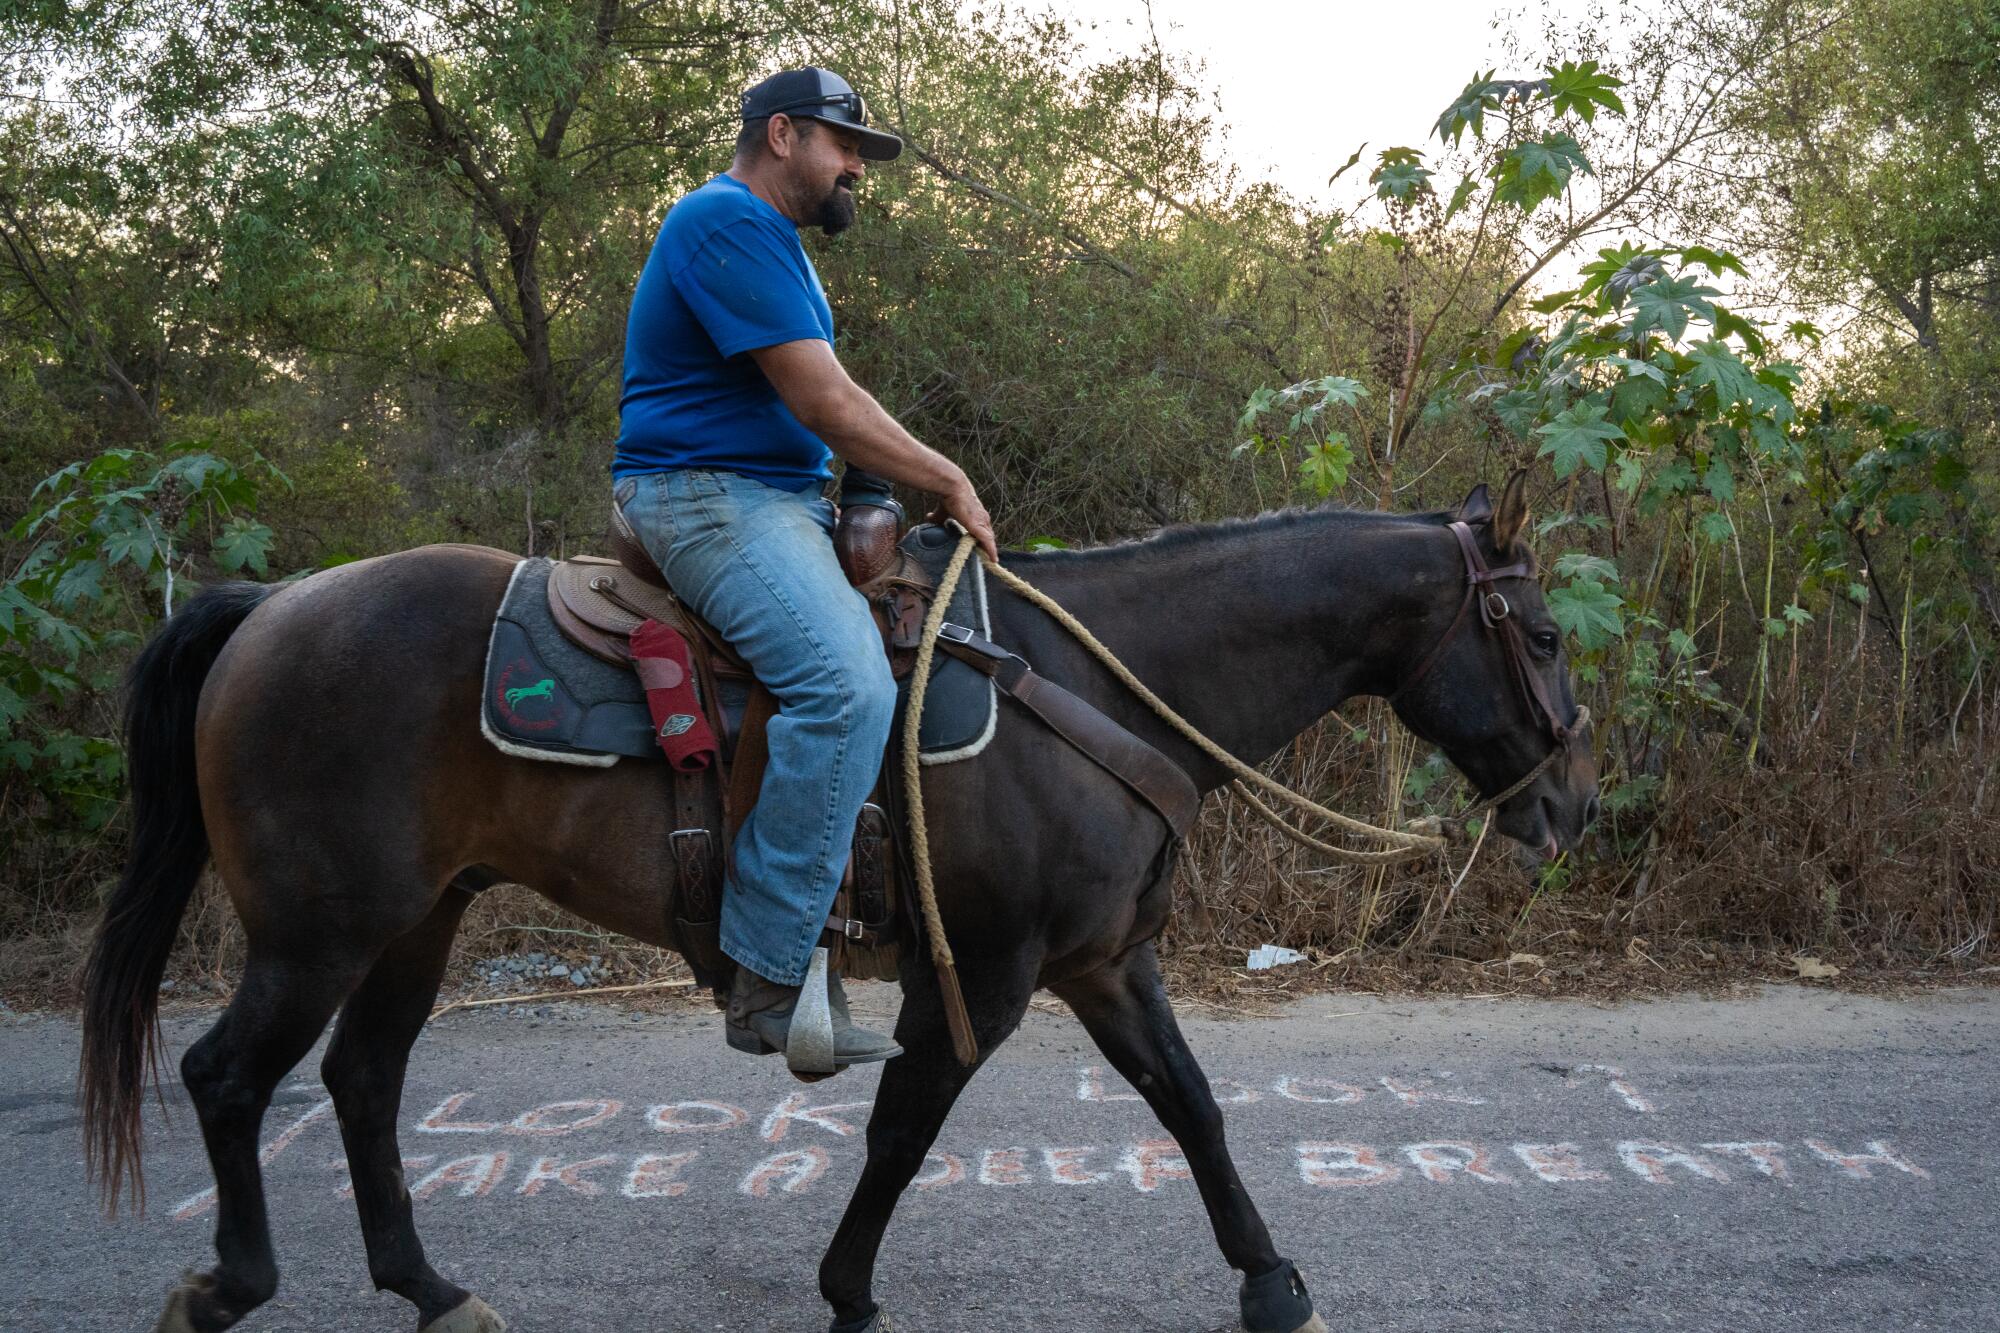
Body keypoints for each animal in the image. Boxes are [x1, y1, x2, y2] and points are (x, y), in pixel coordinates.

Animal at [86, 472, 1600, 1328]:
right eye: (1542, 632)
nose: (1574, 807)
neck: (1093, 688)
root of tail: (270, 604)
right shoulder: (983, 971)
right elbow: (902, 1129)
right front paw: (847, 1292)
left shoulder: (1105, 961)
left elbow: (1191, 1106)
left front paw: (1272, 1283)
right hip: (319, 927)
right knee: (229, 1076)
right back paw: (231, 1284)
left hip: (423, 914)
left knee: (362, 1081)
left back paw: (432, 1288)